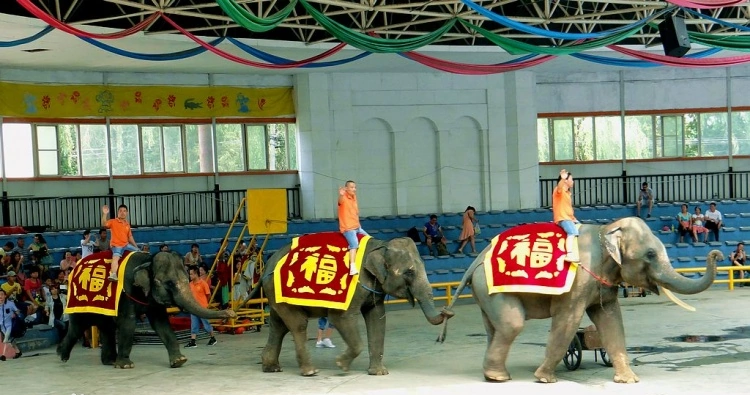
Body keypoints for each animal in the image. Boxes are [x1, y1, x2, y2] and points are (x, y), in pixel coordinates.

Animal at [56, 252, 235, 370]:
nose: (231, 312)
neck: (147, 261)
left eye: (187, 278)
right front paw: (126, 366)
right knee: (78, 326)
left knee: (106, 327)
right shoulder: (127, 292)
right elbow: (128, 322)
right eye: (169, 283)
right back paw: (62, 356)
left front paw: (179, 361)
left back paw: (109, 361)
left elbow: (161, 323)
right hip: (79, 301)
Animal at [253, 237, 456, 376]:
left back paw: (271, 368)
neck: (379, 245)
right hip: (278, 291)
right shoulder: (354, 283)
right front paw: (340, 365)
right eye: (409, 272)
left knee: (279, 326)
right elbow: (340, 318)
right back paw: (310, 371)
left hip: (274, 294)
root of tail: (267, 266)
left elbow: (377, 319)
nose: (448, 311)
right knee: (298, 324)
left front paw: (379, 373)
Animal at [440, 218, 724, 386]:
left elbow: (611, 321)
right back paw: (499, 378)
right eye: (651, 254)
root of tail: (475, 261)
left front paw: (629, 381)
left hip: (484, 293)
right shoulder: (579, 280)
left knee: (494, 328)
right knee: (512, 324)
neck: (606, 230)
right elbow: (568, 321)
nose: (717, 253)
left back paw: (493, 375)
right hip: (492, 289)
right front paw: (545, 379)